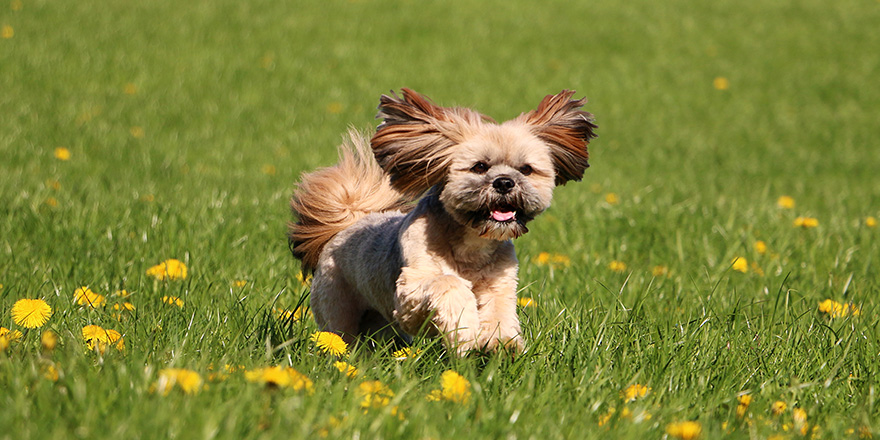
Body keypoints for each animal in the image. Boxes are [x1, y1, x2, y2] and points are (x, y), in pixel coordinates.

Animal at [288, 88, 600, 354]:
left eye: (526, 169)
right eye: (479, 167)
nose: (504, 182)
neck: (471, 248)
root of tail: (348, 224)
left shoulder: (500, 284)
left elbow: (500, 311)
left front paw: (500, 342)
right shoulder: (409, 293)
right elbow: (448, 284)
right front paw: (465, 332)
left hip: (382, 327)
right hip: (339, 311)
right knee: (340, 335)